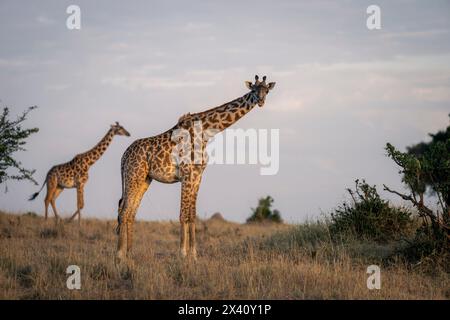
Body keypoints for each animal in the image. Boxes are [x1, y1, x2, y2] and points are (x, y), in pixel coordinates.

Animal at [116, 75, 276, 262]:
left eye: (267, 90)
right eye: (254, 90)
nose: (261, 101)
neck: (206, 132)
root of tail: (123, 157)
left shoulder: (198, 175)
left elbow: (192, 214)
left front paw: (193, 254)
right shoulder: (187, 173)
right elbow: (183, 214)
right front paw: (182, 253)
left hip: (144, 179)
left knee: (131, 212)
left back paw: (130, 254)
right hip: (133, 175)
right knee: (124, 211)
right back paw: (119, 256)